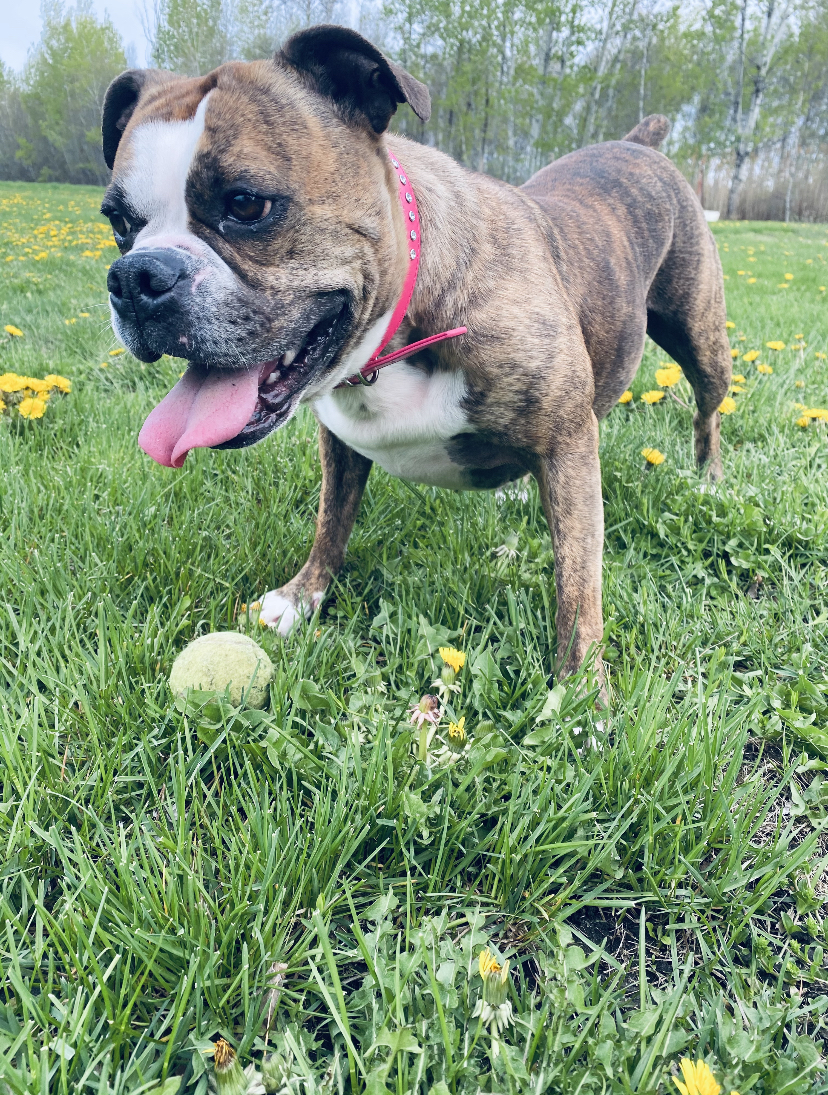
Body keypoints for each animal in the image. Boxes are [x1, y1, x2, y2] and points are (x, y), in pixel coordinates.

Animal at [101, 25, 731, 694]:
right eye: (117, 223)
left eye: (246, 205)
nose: (136, 276)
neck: (393, 336)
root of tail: (639, 145)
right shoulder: (341, 446)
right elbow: (332, 521)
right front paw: (300, 598)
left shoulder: (567, 441)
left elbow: (577, 579)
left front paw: (580, 687)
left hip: (702, 341)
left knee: (706, 409)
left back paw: (708, 481)